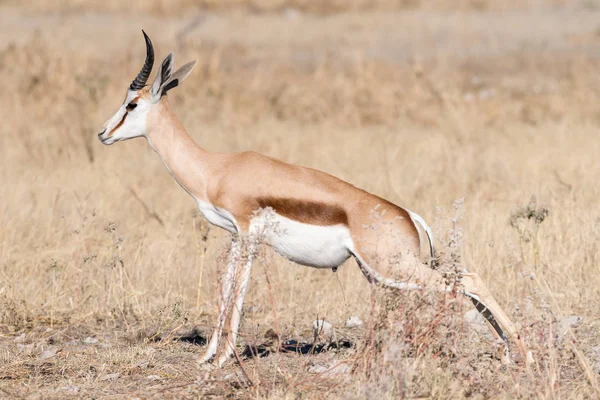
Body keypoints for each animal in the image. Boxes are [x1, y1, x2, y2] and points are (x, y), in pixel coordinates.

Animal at [99, 32, 536, 368]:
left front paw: (222, 360)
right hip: (381, 273)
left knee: (468, 281)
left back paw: (522, 353)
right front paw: (207, 356)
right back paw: (507, 352)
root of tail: (409, 215)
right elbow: (224, 290)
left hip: (392, 268)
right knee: (463, 286)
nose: (103, 133)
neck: (216, 168)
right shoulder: (236, 236)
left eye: (132, 104)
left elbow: (237, 293)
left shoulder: (247, 233)